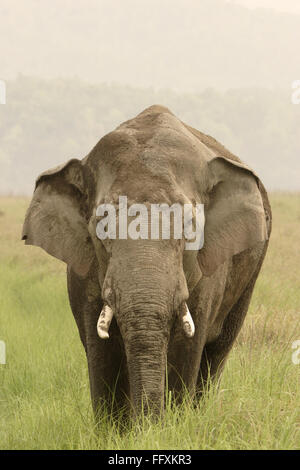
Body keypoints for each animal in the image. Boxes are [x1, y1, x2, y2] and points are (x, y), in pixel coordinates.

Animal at [22, 104, 272, 416]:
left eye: (190, 226)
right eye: (101, 226)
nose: (148, 422)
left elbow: (186, 347)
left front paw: (173, 422)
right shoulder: (85, 273)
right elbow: (101, 351)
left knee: (216, 353)